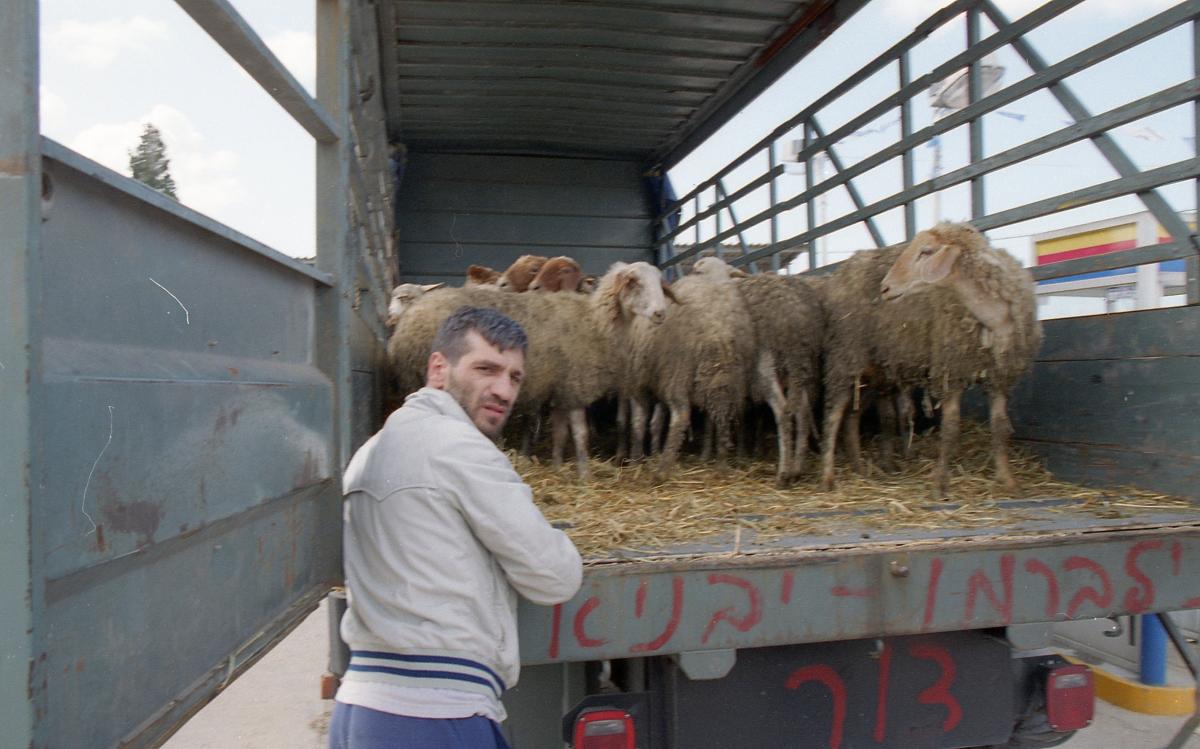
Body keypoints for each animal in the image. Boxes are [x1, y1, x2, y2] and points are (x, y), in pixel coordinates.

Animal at [386, 260, 676, 477]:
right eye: (634, 282)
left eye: (659, 283)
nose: (661, 313)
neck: (596, 321)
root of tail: (409, 318)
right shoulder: (575, 386)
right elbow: (580, 435)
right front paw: (585, 475)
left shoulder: (562, 389)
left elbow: (560, 433)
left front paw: (558, 466)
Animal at [696, 260, 825, 489]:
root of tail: (794, 314)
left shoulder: (717, 374)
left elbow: (714, 417)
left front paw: (711, 454)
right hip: (799, 368)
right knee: (802, 411)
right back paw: (797, 469)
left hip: (765, 365)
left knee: (782, 411)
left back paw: (783, 474)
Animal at [883, 222, 1041, 496]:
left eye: (926, 251)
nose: (885, 288)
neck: (992, 320)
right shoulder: (951, 372)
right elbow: (950, 427)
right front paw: (940, 482)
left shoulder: (999, 378)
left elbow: (999, 426)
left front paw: (1007, 479)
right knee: (903, 411)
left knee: (906, 410)